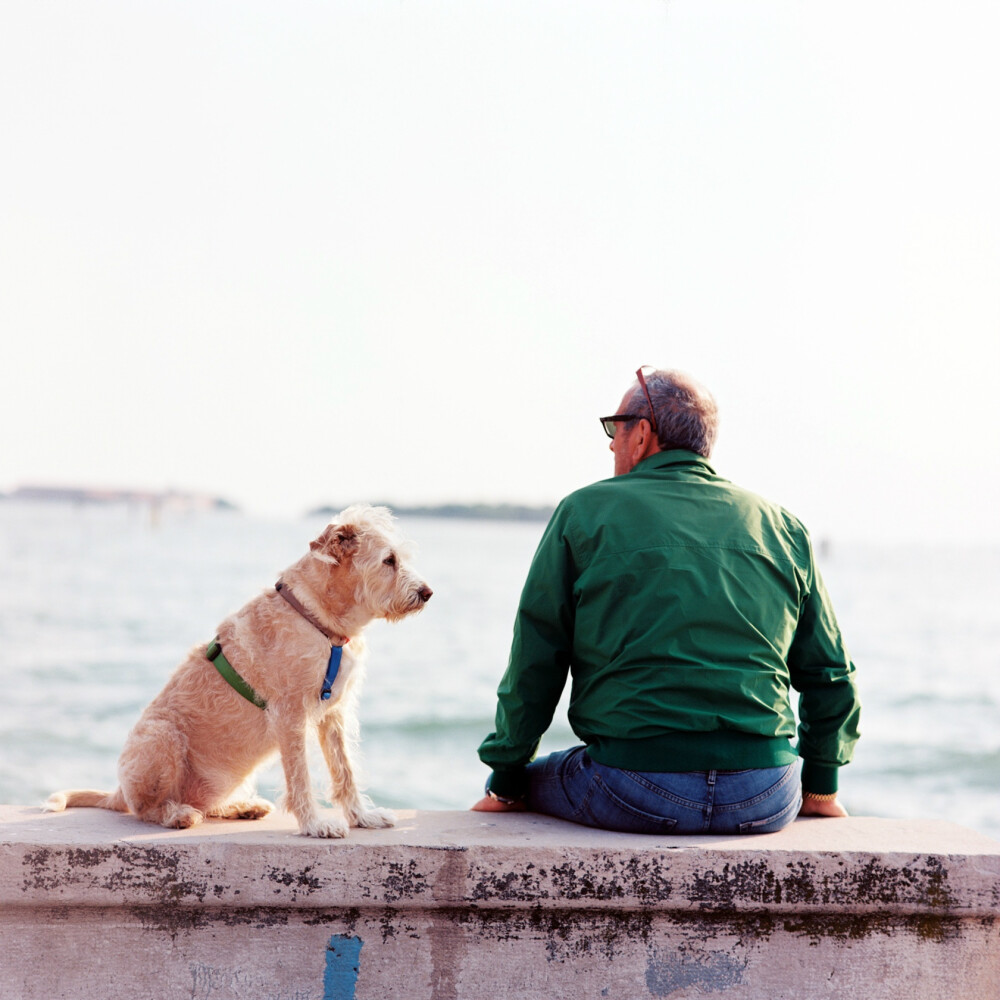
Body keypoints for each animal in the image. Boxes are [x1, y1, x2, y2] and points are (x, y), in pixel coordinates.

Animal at [45, 504, 432, 840]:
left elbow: (345, 770)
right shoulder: (290, 715)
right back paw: (177, 814)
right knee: (145, 809)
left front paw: (362, 817)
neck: (318, 619)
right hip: (161, 737)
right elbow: (300, 777)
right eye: (389, 560)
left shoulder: (333, 713)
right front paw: (314, 824)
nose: (427, 592)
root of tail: (118, 792)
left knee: (207, 804)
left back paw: (241, 807)